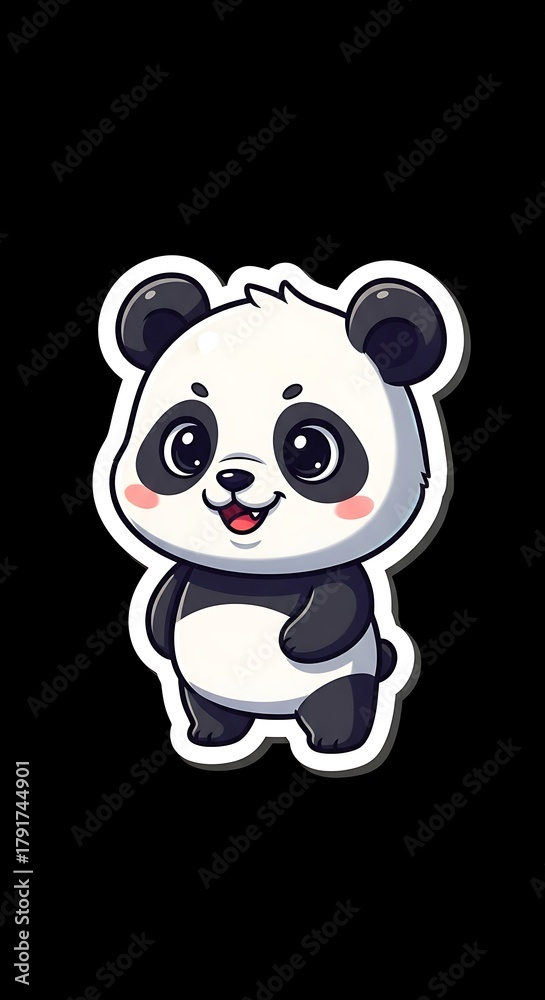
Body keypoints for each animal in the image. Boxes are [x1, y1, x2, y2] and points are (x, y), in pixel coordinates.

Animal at [94, 256, 465, 777]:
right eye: (185, 444)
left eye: (309, 449)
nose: (233, 476)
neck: (252, 577)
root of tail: (275, 717)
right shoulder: (190, 575)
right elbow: (165, 600)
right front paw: (156, 633)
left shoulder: (339, 579)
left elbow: (344, 605)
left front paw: (295, 642)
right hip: (198, 685)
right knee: (208, 706)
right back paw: (211, 735)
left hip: (337, 683)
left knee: (340, 702)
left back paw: (336, 743)